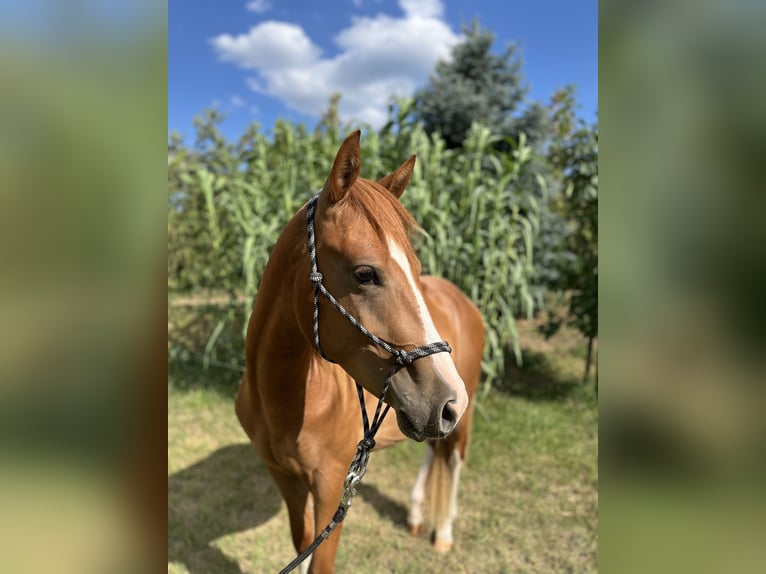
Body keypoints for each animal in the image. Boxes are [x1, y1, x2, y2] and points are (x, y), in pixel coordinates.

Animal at [236, 130, 484, 573]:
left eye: (416, 269)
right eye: (365, 273)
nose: (448, 399)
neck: (282, 397)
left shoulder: (332, 485)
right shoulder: (286, 479)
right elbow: (301, 544)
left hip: (460, 422)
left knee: (453, 460)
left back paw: (443, 534)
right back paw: (417, 517)